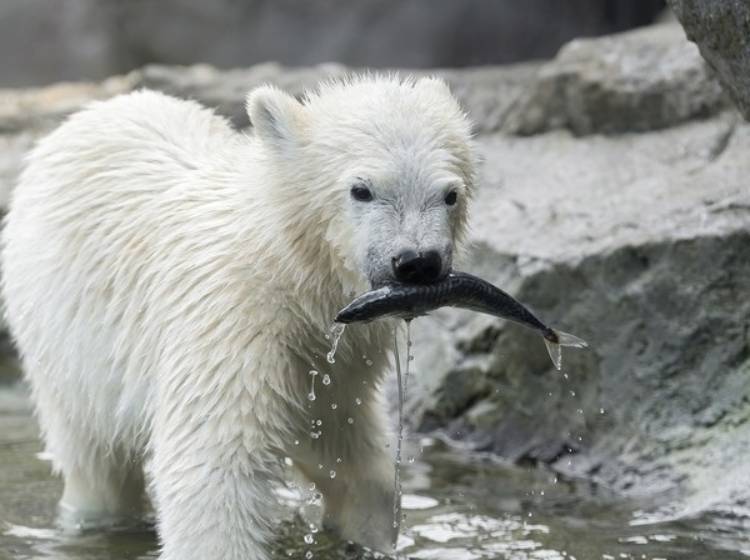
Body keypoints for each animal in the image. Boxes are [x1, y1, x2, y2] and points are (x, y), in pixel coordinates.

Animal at [1, 75, 476, 560]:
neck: (286, 266)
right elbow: (214, 470)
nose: (417, 262)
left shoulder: (337, 361)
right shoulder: (230, 323)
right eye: (361, 189)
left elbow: (352, 461)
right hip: (63, 337)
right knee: (95, 462)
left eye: (450, 194)